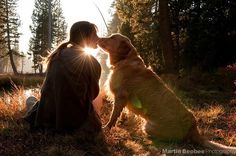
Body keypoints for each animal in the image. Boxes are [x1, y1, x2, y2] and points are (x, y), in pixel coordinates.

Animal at [97, 33, 236, 152]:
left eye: (112, 37)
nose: (97, 38)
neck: (125, 59)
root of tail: (193, 128)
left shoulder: (120, 95)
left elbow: (113, 115)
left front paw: (106, 128)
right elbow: (123, 114)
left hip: (147, 126)